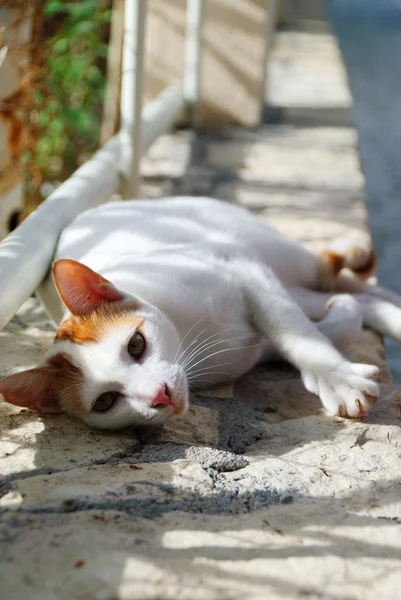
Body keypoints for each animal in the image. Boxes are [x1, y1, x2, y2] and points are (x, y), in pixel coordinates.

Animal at [3, 195, 400, 428]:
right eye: (105, 401)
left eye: (135, 344)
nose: (159, 395)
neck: (188, 334)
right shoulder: (258, 346)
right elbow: (319, 327)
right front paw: (341, 328)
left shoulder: (240, 263)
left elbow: (297, 331)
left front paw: (337, 378)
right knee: (346, 295)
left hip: (270, 251)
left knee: (332, 273)